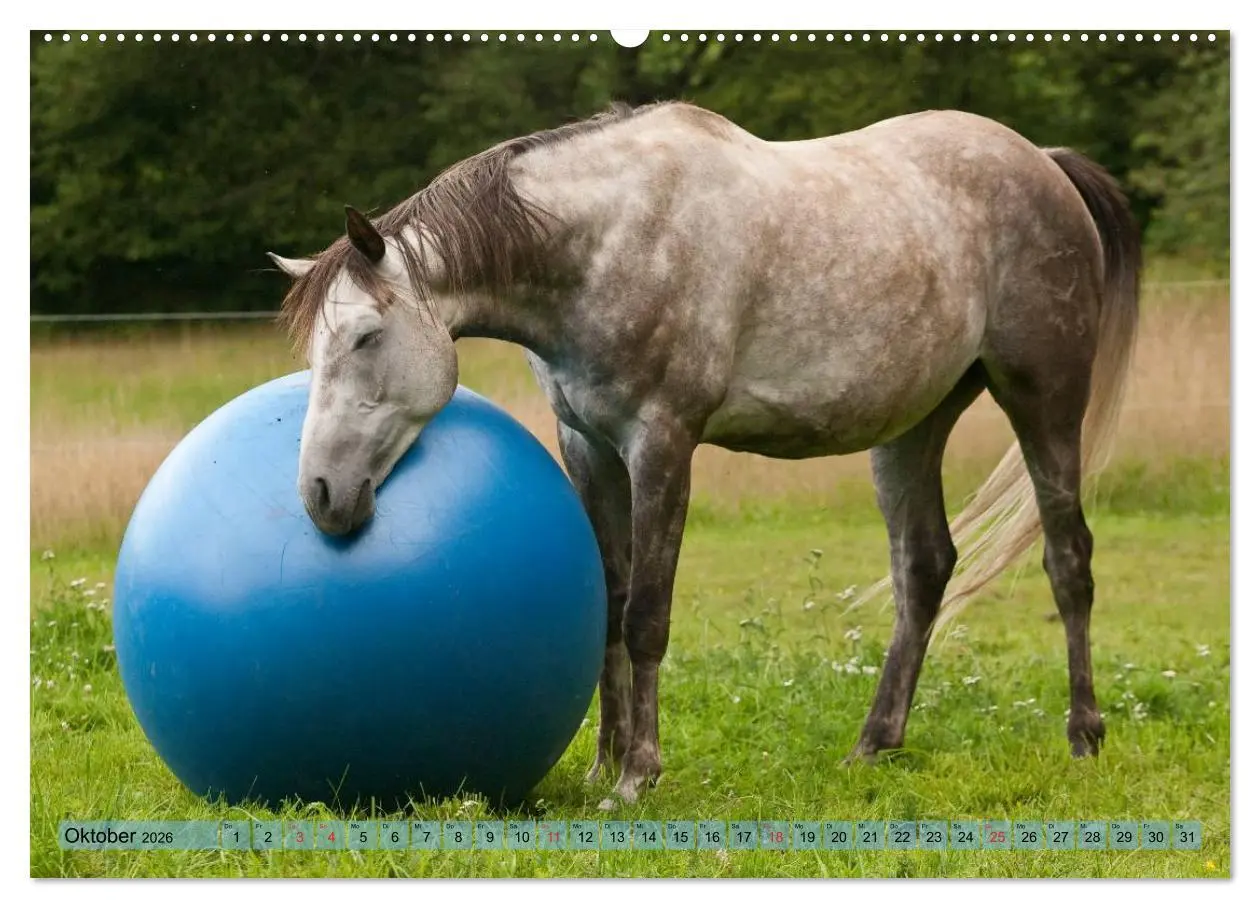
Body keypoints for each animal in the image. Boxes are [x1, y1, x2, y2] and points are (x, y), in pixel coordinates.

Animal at [269, 101, 1140, 808]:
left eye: (366, 337)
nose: (321, 494)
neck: (602, 242)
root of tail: (1043, 163)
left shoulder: (661, 443)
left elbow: (647, 614)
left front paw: (637, 776)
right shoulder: (589, 448)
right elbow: (610, 604)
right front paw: (602, 764)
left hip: (1043, 402)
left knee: (1069, 559)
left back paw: (1084, 737)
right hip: (913, 428)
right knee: (924, 568)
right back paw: (872, 745)